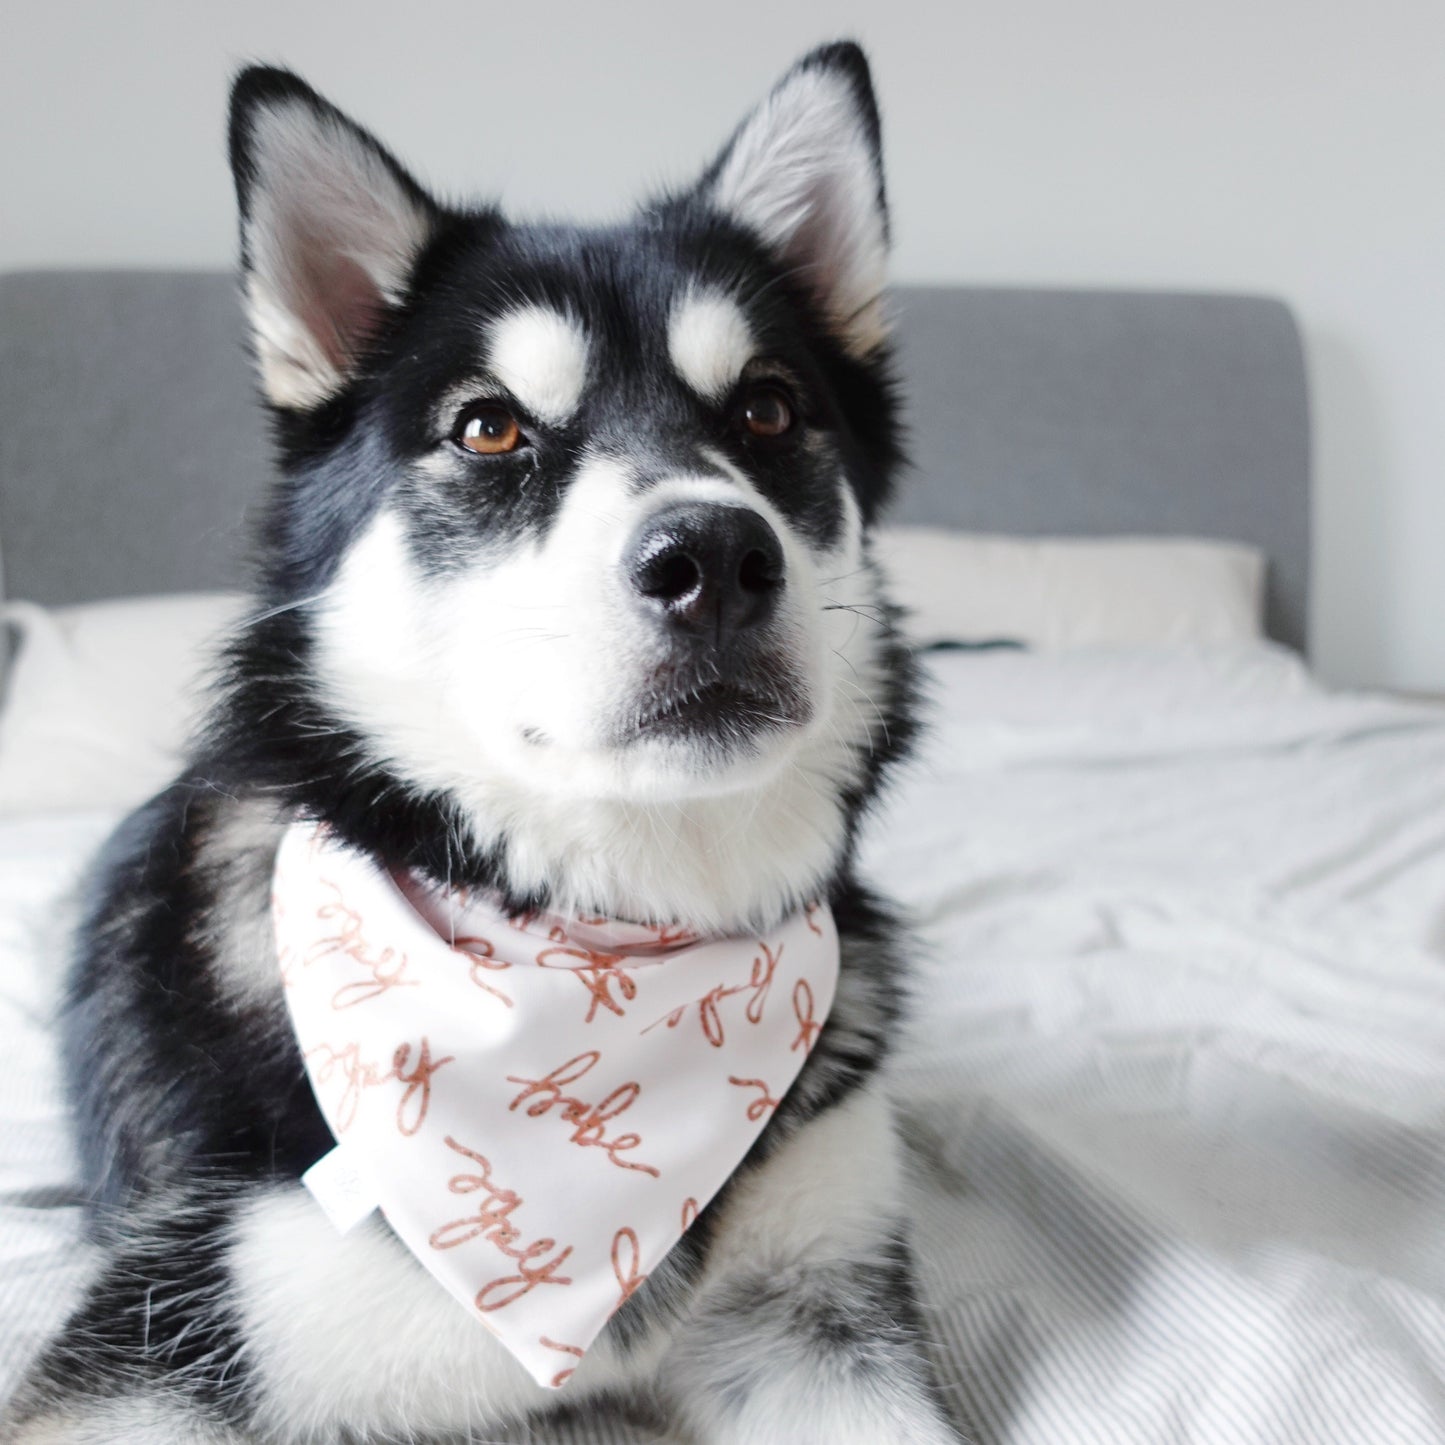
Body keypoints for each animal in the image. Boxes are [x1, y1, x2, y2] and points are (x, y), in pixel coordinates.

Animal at [8, 39, 959, 1439]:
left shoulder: (817, 1320)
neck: (604, 946)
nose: (715, 559)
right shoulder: (158, 1343)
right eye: (490, 425)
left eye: (770, 412)